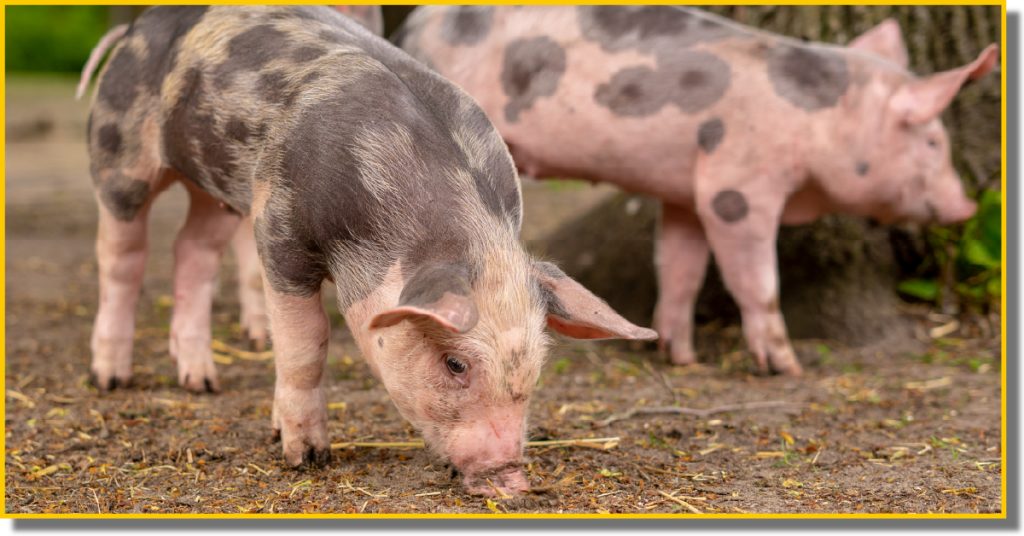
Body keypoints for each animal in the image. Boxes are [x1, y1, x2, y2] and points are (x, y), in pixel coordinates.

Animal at [79, 6, 655, 496]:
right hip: (120, 156)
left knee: (191, 251)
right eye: (455, 364)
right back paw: (110, 377)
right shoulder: (277, 228)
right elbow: (305, 343)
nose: (511, 478)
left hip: (215, 186)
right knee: (121, 258)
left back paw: (200, 382)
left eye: (537, 365)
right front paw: (305, 455)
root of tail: (135, 29)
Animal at [397, 6, 999, 375]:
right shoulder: (735, 188)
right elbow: (757, 280)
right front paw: (786, 367)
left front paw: (680, 356)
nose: (967, 203)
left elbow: (681, 268)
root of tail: (415, 27)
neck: (820, 120)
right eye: (932, 141)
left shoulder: (685, 193)